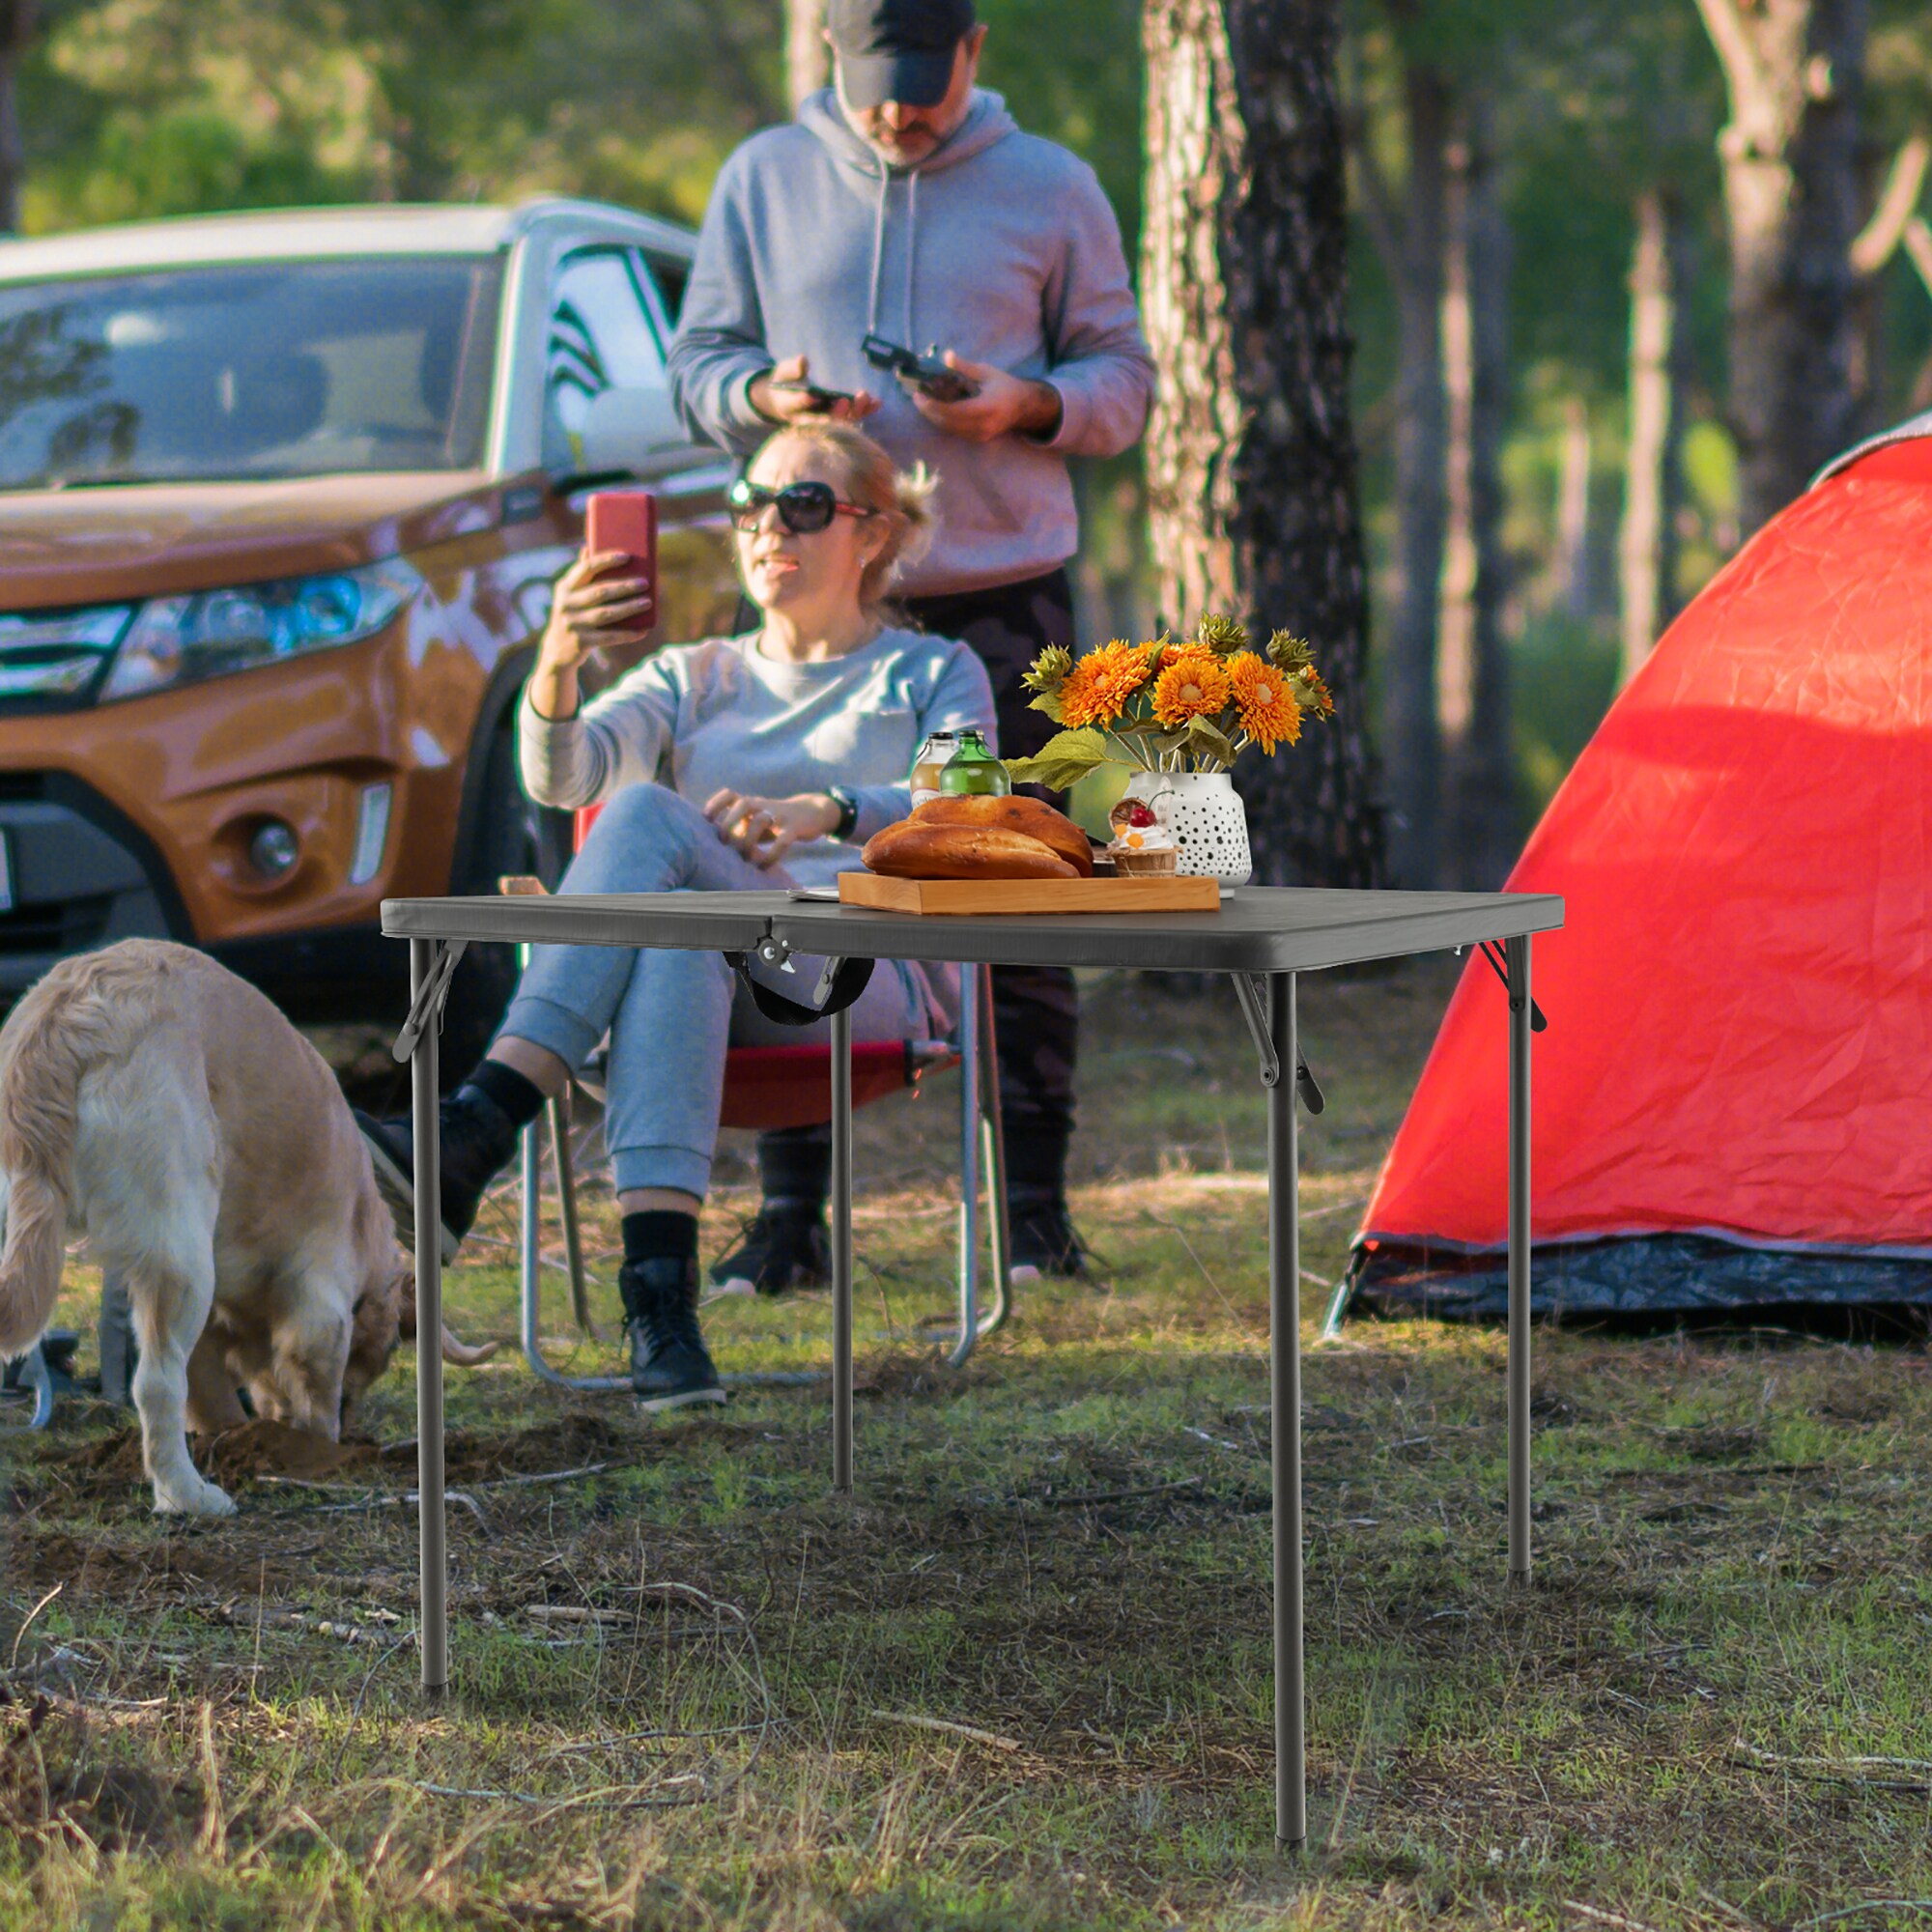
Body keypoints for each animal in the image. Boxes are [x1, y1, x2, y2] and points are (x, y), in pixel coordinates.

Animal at [0, 943, 491, 1515]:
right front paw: (317, 1451)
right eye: (370, 1364)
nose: (354, 1422)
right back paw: (189, 1496)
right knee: (155, 1383)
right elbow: (312, 1391)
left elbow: (212, 1393)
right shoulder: (322, 1303)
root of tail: (63, 1016)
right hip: (182, 1257)